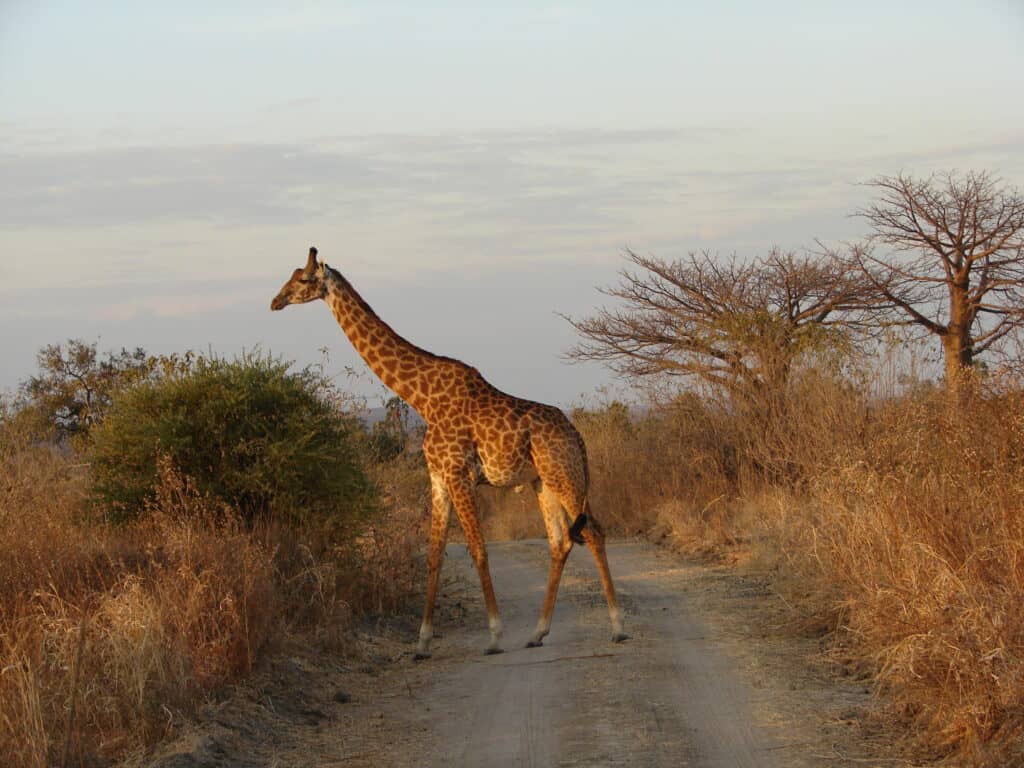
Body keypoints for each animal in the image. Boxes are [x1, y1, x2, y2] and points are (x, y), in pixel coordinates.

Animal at [268, 249, 626, 659]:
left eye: (303, 279)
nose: (275, 301)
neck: (421, 397)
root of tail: (577, 436)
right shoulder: (437, 476)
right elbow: (434, 555)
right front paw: (422, 643)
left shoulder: (458, 474)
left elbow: (478, 550)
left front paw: (494, 636)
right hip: (543, 481)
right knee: (561, 541)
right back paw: (537, 633)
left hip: (564, 473)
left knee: (594, 532)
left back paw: (617, 628)